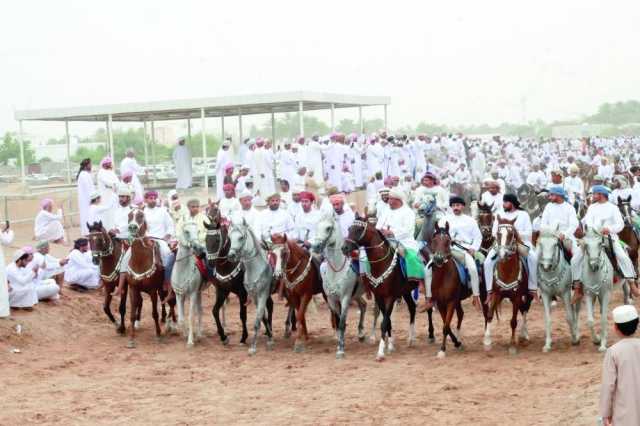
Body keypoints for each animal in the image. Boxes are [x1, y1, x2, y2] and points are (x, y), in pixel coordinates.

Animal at [124, 207, 176, 350]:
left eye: (141, 215)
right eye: (129, 215)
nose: (132, 227)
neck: (140, 261)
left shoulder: (152, 290)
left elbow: (154, 313)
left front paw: (158, 335)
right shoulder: (133, 288)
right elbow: (132, 314)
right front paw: (131, 339)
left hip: (166, 287)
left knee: (172, 302)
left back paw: (173, 325)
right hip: (161, 289)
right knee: (165, 301)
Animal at [226, 218, 274, 354]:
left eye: (241, 237)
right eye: (229, 237)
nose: (231, 255)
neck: (256, 268)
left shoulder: (262, 294)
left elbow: (258, 320)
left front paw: (253, 347)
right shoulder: (254, 296)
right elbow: (263, 317)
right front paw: (270, 337)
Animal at [342, 215, 418, 362]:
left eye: (359, 229)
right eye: (349, 228)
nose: (344, 247)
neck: (382, 264)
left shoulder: (390, 297)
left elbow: (384, 322)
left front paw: (380, 352)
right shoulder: (379, 296)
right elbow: (387, 321)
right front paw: (390, 346)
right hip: (406, 291)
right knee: (412, 307)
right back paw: (410, 339)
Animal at [430, 221, 470, 358]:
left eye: (448, 241)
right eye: (434, 240)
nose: (438, 258)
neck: (442, 277)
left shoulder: (451, 302)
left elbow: (446, 326)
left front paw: (442, 349)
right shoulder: (440, 303)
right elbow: (445, 325)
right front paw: (455, 342)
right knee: (461, 314)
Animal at [482, 218, 532, 354]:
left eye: (511, 234)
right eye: (498, 234)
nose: (502, 253)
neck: (507, 272)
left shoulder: (517, 296)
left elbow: (513, 321)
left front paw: (512, 345)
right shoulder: (496, 294)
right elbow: (489, 315)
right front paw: (487, 342)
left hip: (527, 295)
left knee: (525, 310)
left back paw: (524, 334)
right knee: (523, 309)